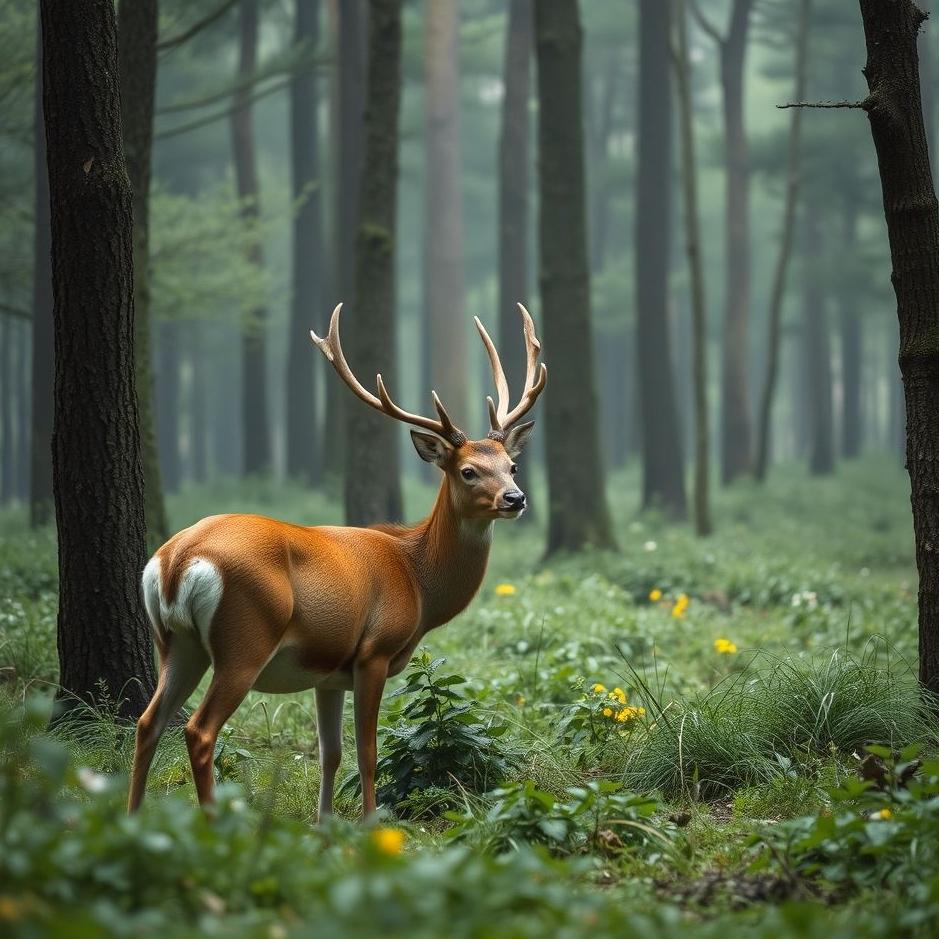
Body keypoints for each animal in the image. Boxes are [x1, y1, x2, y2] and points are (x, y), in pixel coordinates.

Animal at [128, 302, 547, 817]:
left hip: (176, 642)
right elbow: (367, 752)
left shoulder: (326, 673)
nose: (516, 498)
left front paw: (324, 822)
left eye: (512, 465)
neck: (417, 578)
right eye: (468, 471)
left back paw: (132, 817)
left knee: (147, 722)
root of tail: (176, 559)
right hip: (245, 638)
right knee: (199, 730)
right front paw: (369, 822)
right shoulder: (374, 651)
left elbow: (331, 753)